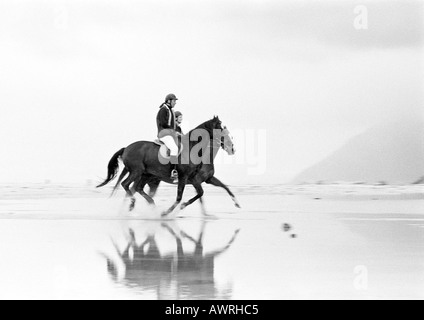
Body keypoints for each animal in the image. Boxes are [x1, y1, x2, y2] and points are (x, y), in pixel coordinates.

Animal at [97, 116, 240, 216]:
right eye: (221, 130)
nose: (232, 149)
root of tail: (126, 148)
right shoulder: (185, 177)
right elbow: (180, 197)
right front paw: (167, 212)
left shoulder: (198, 179)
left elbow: (214, 190)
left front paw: (236, 203)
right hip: (137, 172)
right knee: (126, 185)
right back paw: (133, 206)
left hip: (145, 175)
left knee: (137, 189)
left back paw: (147, 205)